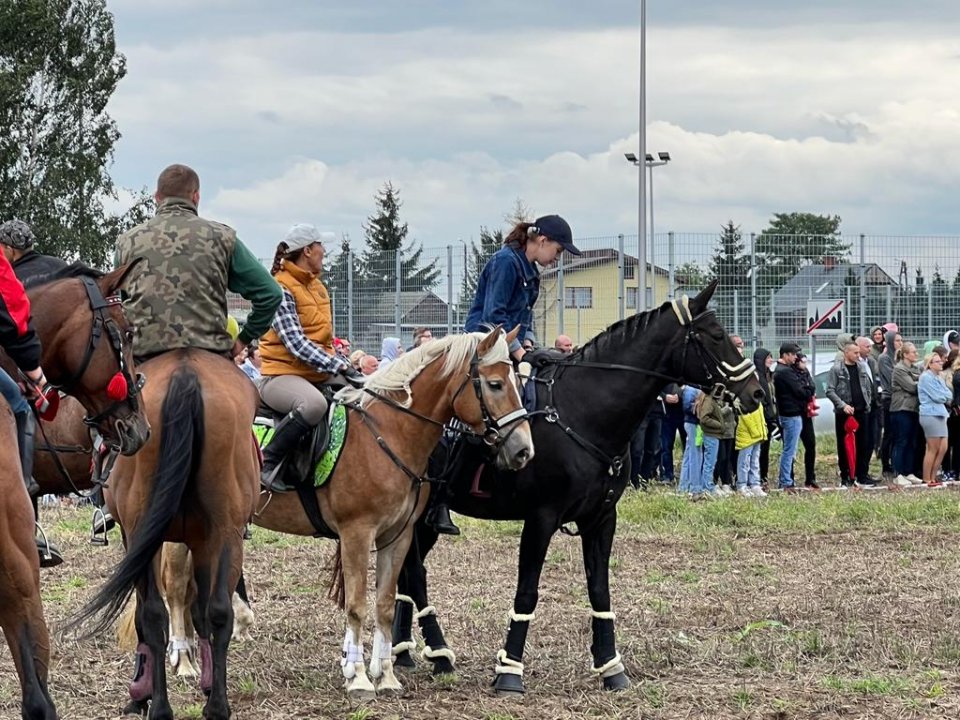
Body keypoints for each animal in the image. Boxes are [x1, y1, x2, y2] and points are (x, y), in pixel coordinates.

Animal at [249, 326, 532, 696]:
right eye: (496, 384)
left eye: (519, 382)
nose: (524, 450)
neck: (389, 433)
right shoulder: (356, 533)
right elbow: (357, 605)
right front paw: (357, 678)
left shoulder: (398, 536)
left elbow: (384, 603)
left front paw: (385, 676)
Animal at [390, 280, 764, 692]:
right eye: (716, 336)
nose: (757, 392)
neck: (582, 412)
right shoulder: (540, 519)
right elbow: (527, 592)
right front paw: (510, 671)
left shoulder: (601, 519)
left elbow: (599, 589)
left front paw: (611, 667)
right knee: (414, 574)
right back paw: (438, 653)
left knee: (405, 572)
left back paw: (403, 652)